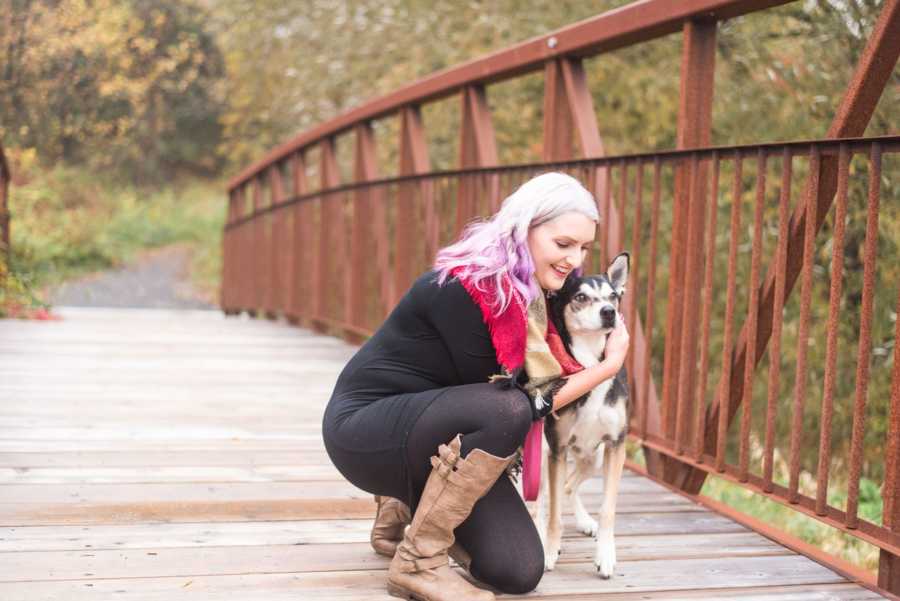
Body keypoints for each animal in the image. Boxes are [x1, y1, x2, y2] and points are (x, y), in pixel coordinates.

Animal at [532, 251, 628, 580]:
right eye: (581, 297)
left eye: (613, 296)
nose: (609, 312)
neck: (590, 363)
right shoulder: (557, 449)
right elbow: (553, 515)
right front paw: (548, 551)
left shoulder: (616, 445)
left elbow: (609, 509)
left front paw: (606, 555)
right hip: (542, 453)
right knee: (541, 501)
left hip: (593, 458)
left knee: (567, 486)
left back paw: (586, 521)